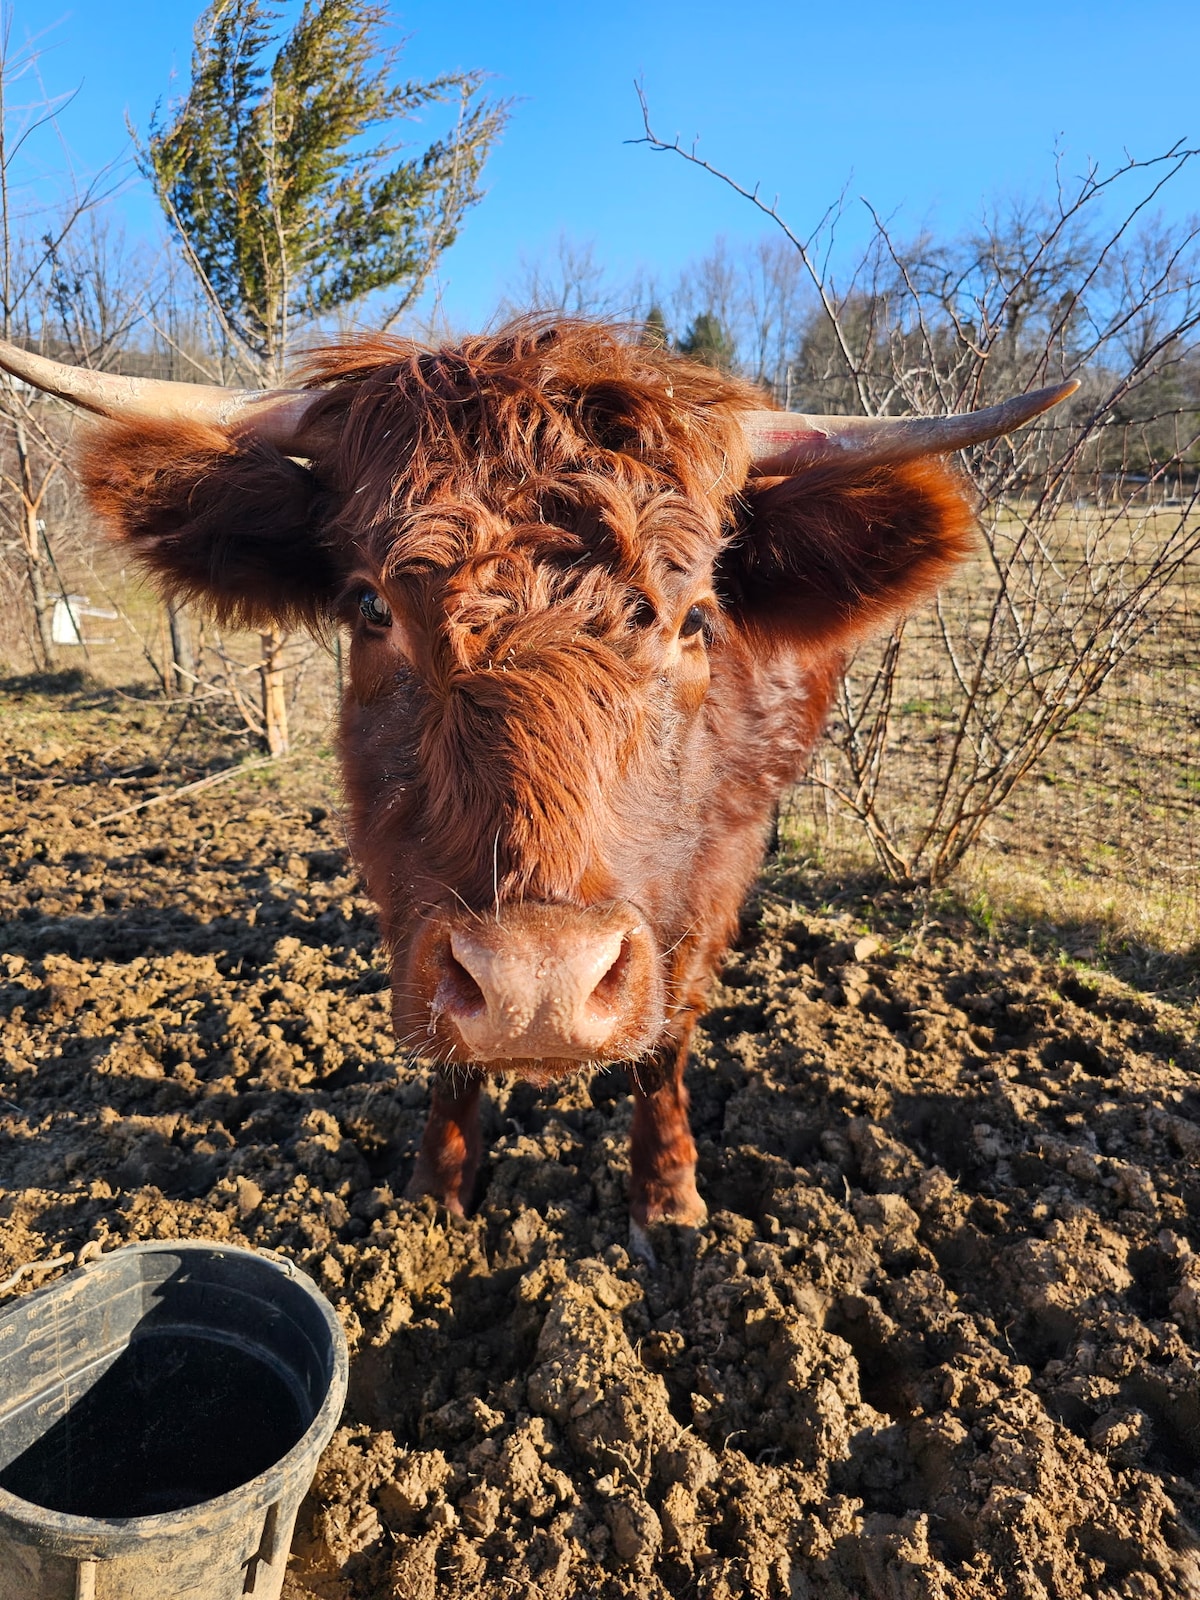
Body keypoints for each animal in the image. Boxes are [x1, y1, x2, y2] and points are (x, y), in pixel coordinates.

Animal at [0, 323, 1074, 1239]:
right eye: (370, 608)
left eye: (697, 619)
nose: (538, 986)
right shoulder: (400, 882)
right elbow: (444, 1054)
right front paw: (437, 1190)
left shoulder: (711, 870)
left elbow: (668, 1037)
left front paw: (668, 1200)